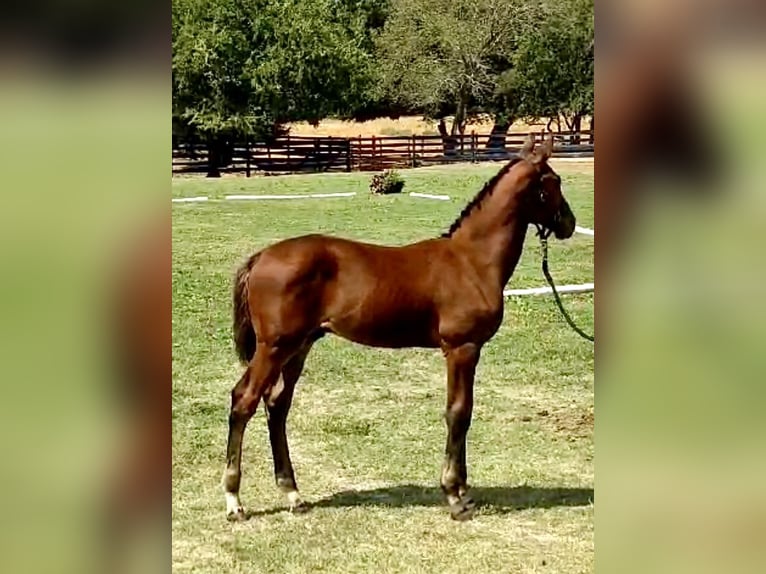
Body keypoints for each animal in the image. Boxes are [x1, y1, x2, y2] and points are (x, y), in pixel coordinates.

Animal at [225, 134, 580, 520]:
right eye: (555, 182)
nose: (569, 223)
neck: (471, 261)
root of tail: (260, 257)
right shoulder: (462, 348)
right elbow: (458, 412)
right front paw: (455, 496)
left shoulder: (468, 350)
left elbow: (464, 412)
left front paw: (464, 491)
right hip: (274, 346)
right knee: (244, 400)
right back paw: (234, 500)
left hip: (299, 347)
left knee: (277, 405)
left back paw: (293, 494)